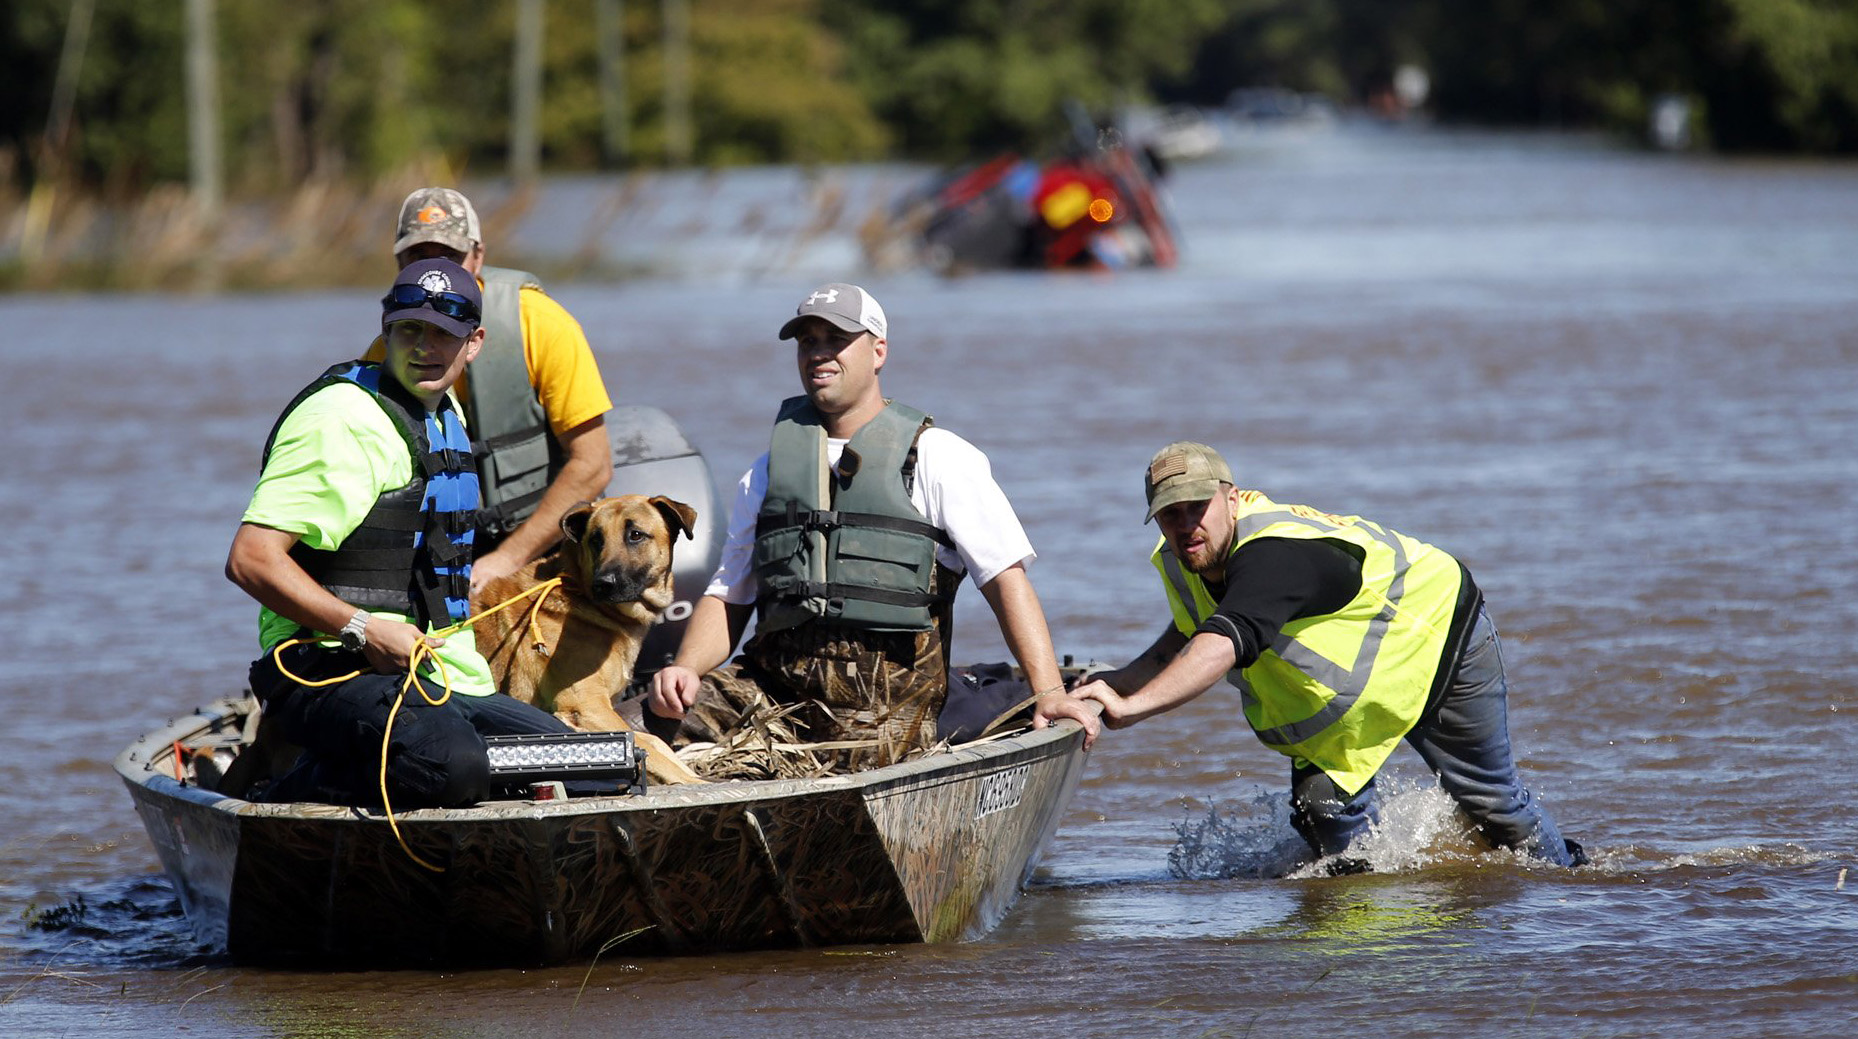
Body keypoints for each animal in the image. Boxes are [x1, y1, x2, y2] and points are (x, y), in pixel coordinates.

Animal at [475, 501, 706, 784]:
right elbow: (647, 745)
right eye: (596, 540)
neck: (580, 593)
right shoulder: (588, 710)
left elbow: (654, 741)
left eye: (636, 535)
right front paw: (693, 781)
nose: (604, 584)